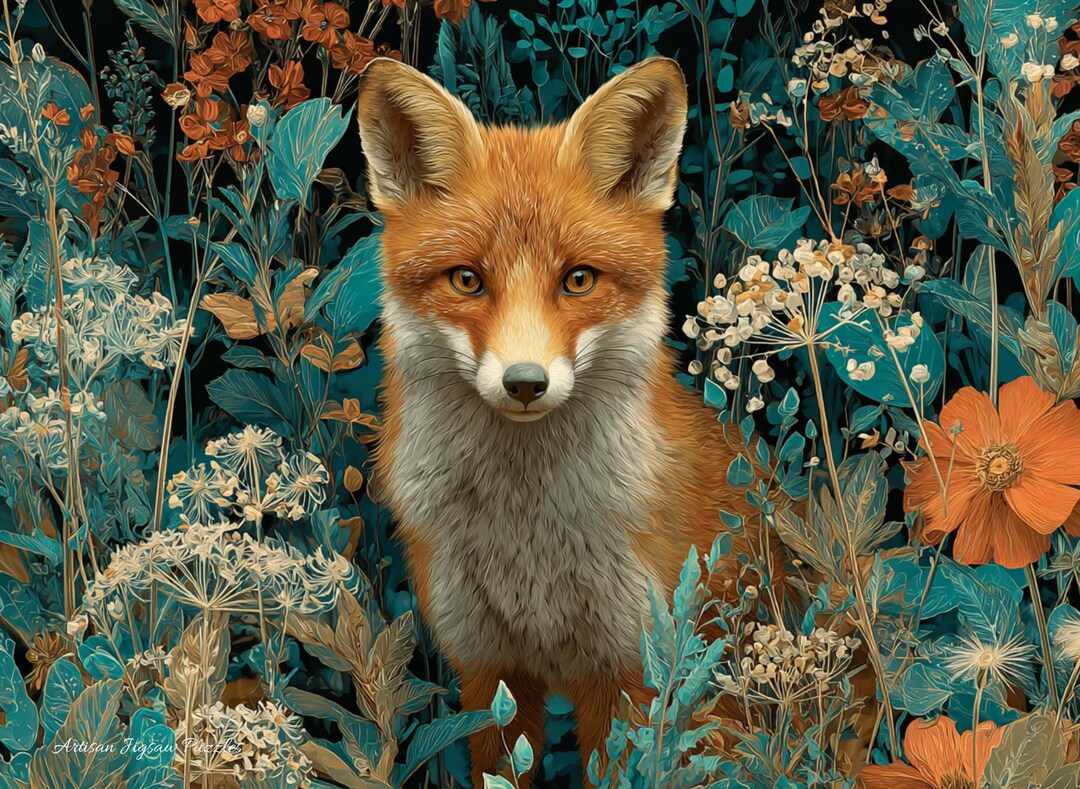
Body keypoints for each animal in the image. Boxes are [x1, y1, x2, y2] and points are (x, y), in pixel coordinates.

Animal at [356, 57, 777, 786]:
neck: (529, 537)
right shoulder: (488, 669)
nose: (526, 382)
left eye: (578, 280)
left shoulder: (630, 668)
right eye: (467, 280)